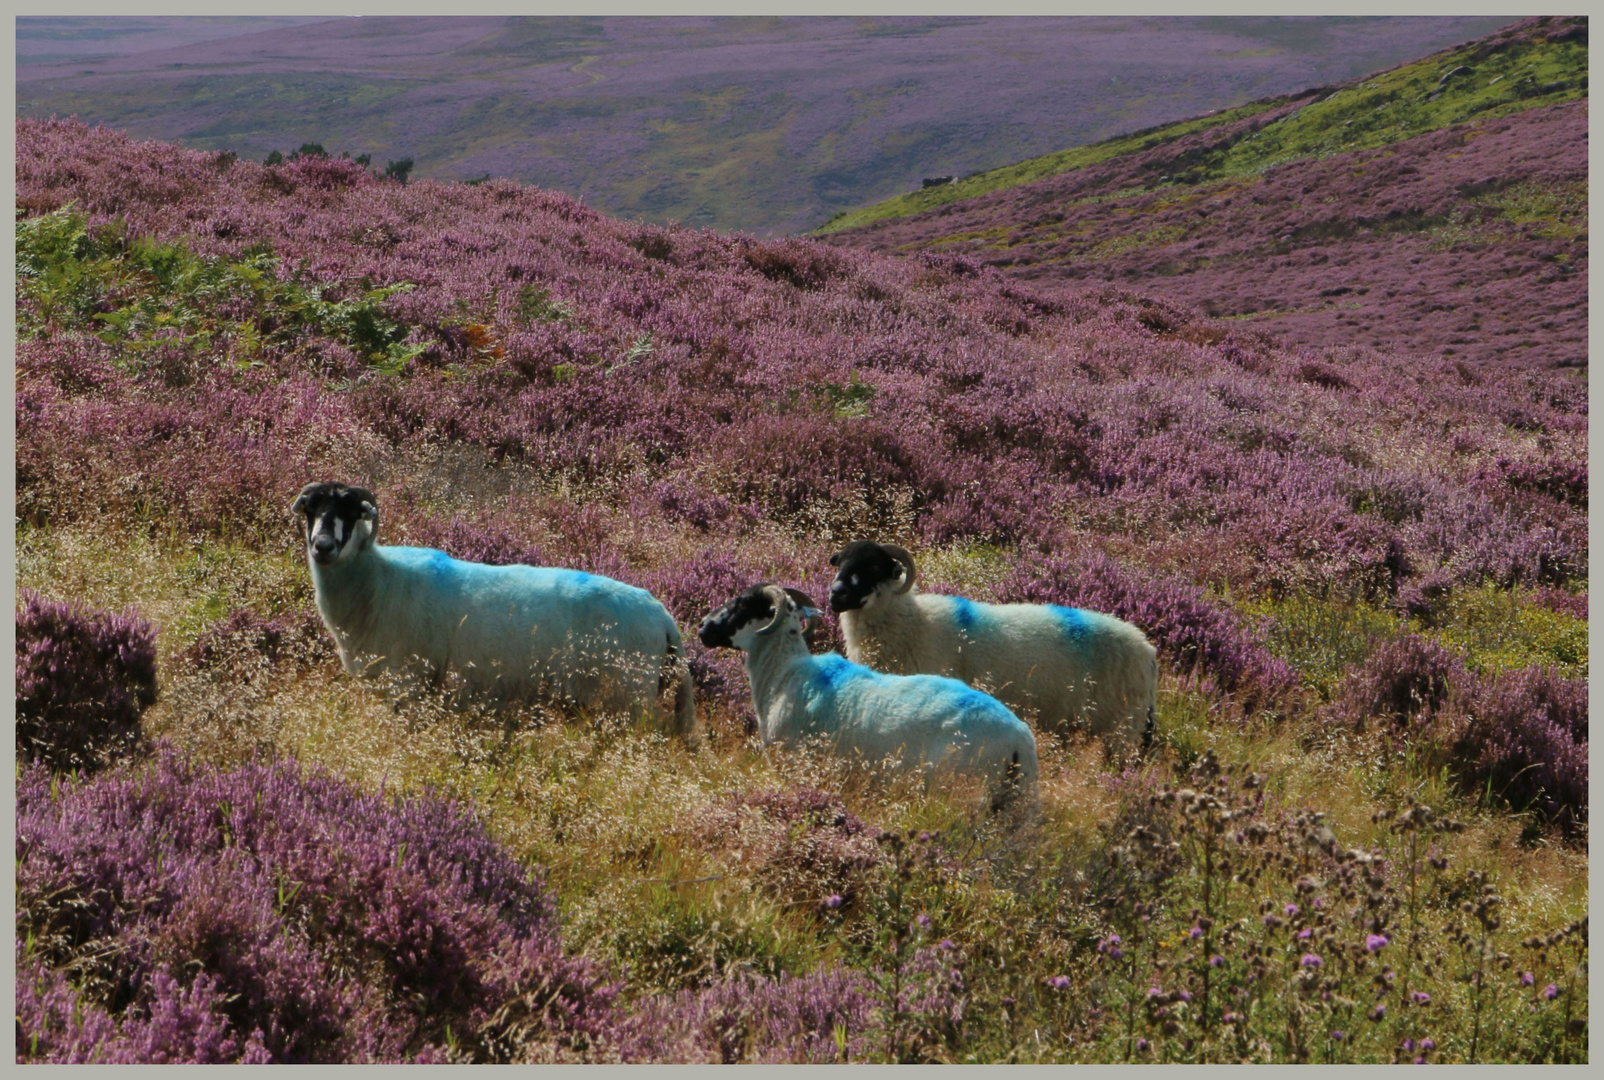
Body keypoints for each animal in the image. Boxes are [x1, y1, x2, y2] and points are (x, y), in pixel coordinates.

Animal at [287, 481, 696, 741]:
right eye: (312, 509)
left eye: (350, 511)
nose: (323, 546)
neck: (378, 580)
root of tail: (663, 616)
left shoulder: (409, 685)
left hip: (628, 701)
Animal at [827, 539, 1154, 757]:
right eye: (840, 562)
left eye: (873, 566)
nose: (835, 595)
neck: (913, 625)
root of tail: (1148, 651)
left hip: (1123, 725)